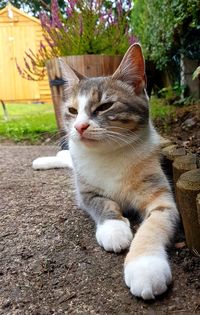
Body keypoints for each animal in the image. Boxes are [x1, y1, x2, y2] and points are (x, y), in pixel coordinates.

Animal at [59, 43, 178, 302]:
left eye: (105, 106)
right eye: (72, 110)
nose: (79, 126)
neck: (110, 154)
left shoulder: (163, 201)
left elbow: (153, 226)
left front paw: (146, 267)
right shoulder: (85, 192)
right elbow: (102, 203)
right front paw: (114, 229)